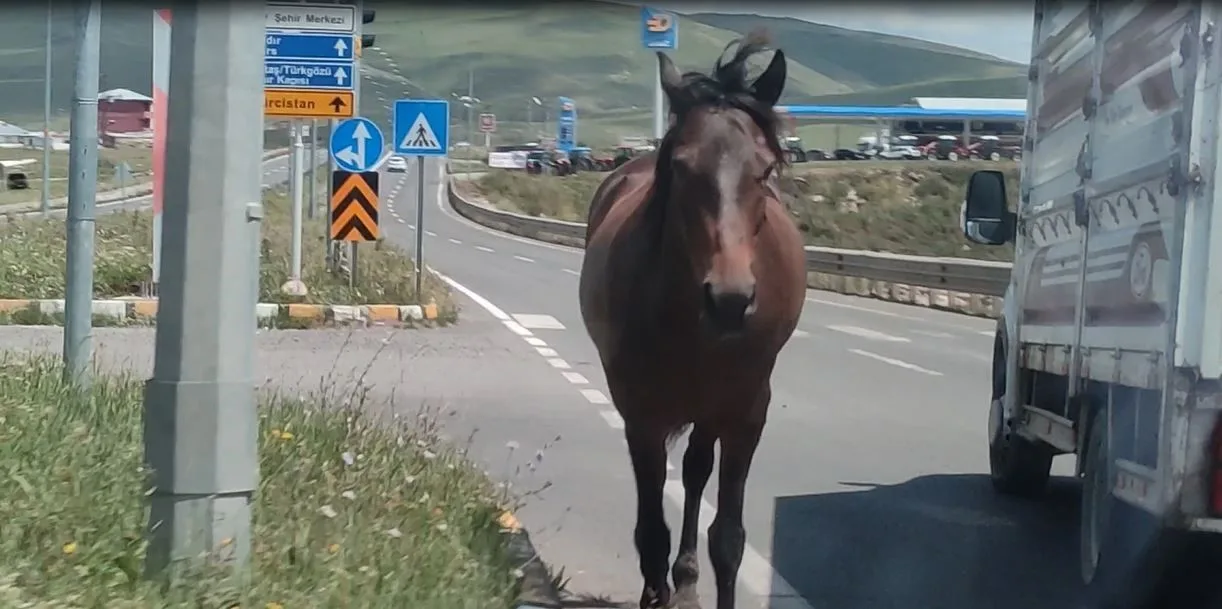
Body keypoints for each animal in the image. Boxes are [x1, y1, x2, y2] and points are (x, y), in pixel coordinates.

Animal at [576, 32, 806, 609]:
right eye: (680, 167)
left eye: (765, 170)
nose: (730, 298)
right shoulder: (641, 412)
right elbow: (651, 528)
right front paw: (654, 591)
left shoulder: (748, 410)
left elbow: (728, 537)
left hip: (712, 409)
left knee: (698, 471)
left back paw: (685, 578)